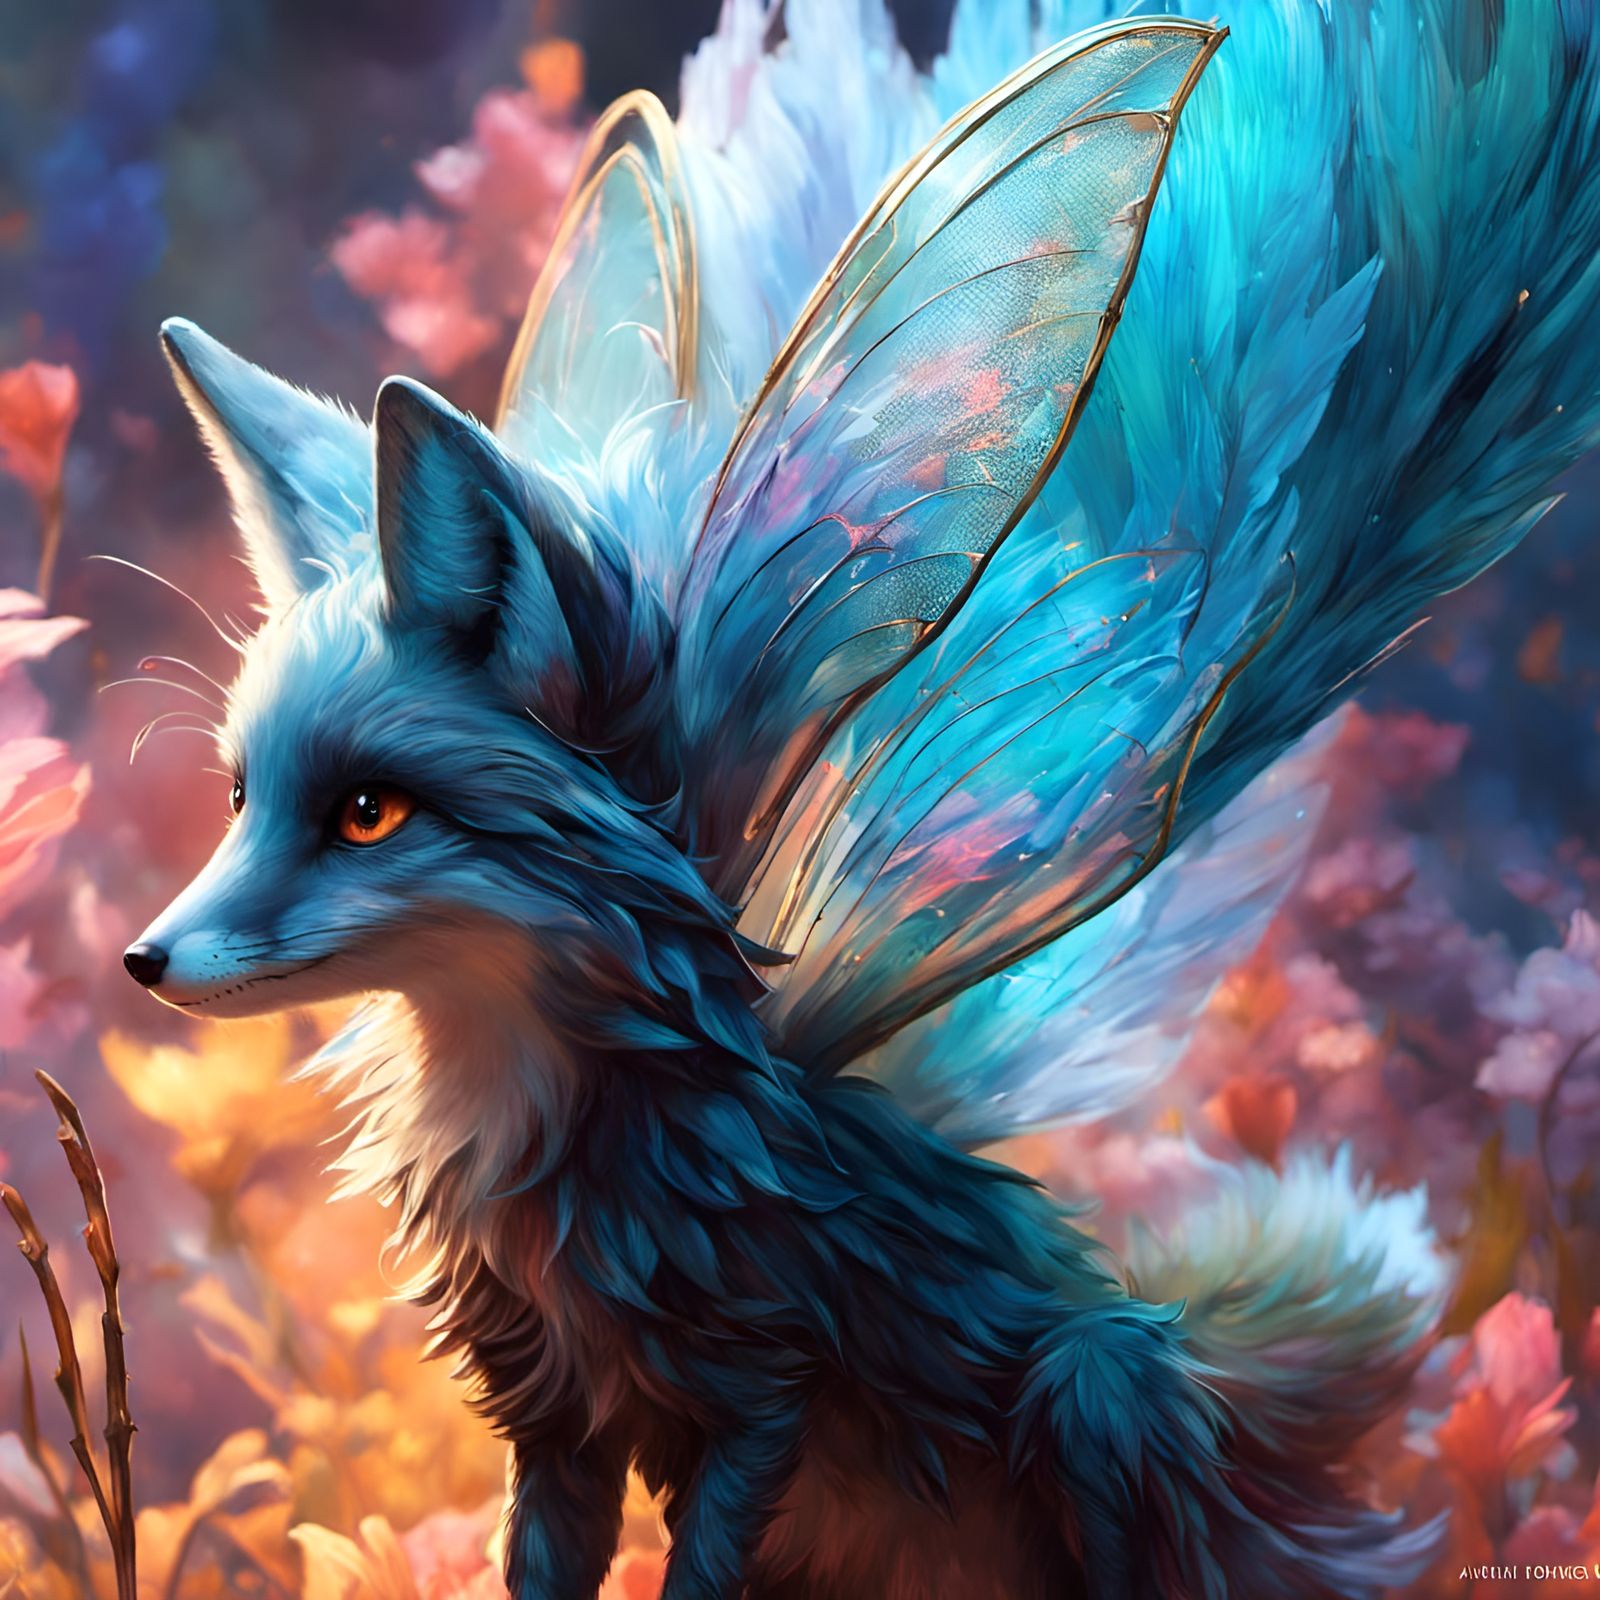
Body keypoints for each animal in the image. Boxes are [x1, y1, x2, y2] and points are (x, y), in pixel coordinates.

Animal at [124, 1, 1600, 1596]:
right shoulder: (552, 1412)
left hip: (1091, 1390)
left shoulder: (759, 1391)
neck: (545, 1137)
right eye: (241, 796)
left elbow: (699, 1559)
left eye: (366, 812)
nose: (144, 960)